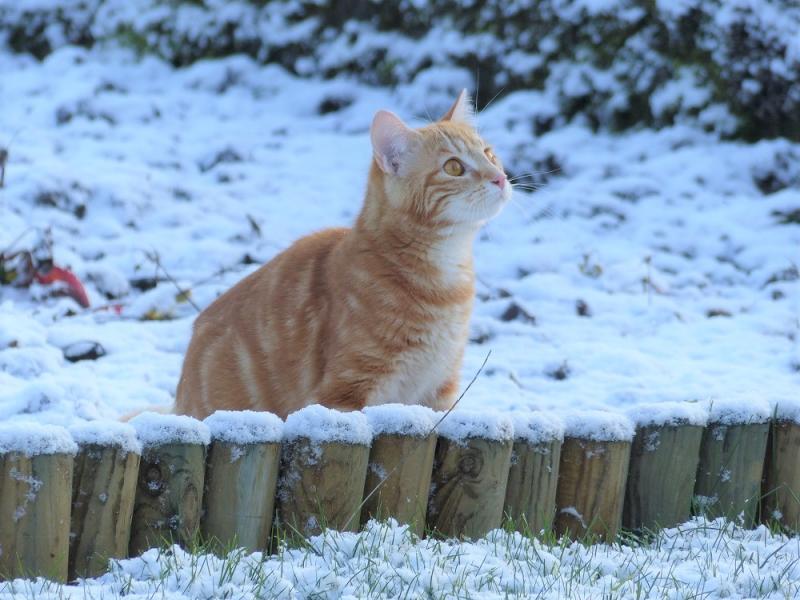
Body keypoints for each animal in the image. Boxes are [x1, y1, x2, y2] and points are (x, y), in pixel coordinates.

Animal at [176, 91, 512, 420]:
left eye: (489, 154)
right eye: (454, 167)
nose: (500, 177)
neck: (445, 275)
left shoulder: (439, 388)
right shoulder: (346, 390)